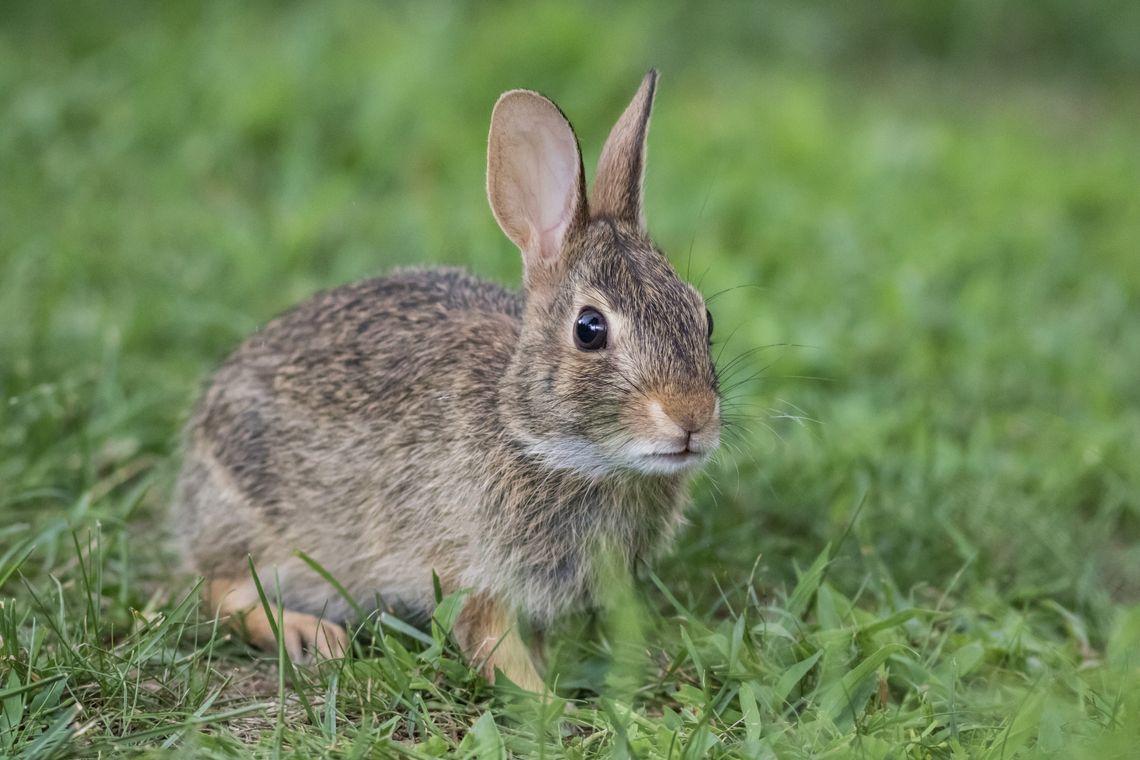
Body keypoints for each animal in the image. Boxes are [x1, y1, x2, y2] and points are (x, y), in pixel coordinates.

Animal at [172, 70, 720, 692]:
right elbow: (493, 644)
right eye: (589, 329)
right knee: (218, 590)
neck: (540, 440)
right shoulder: (472, 570)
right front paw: (549, 703)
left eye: (704, 318)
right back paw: (310, 635)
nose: (692, 419)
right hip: (255, 525)